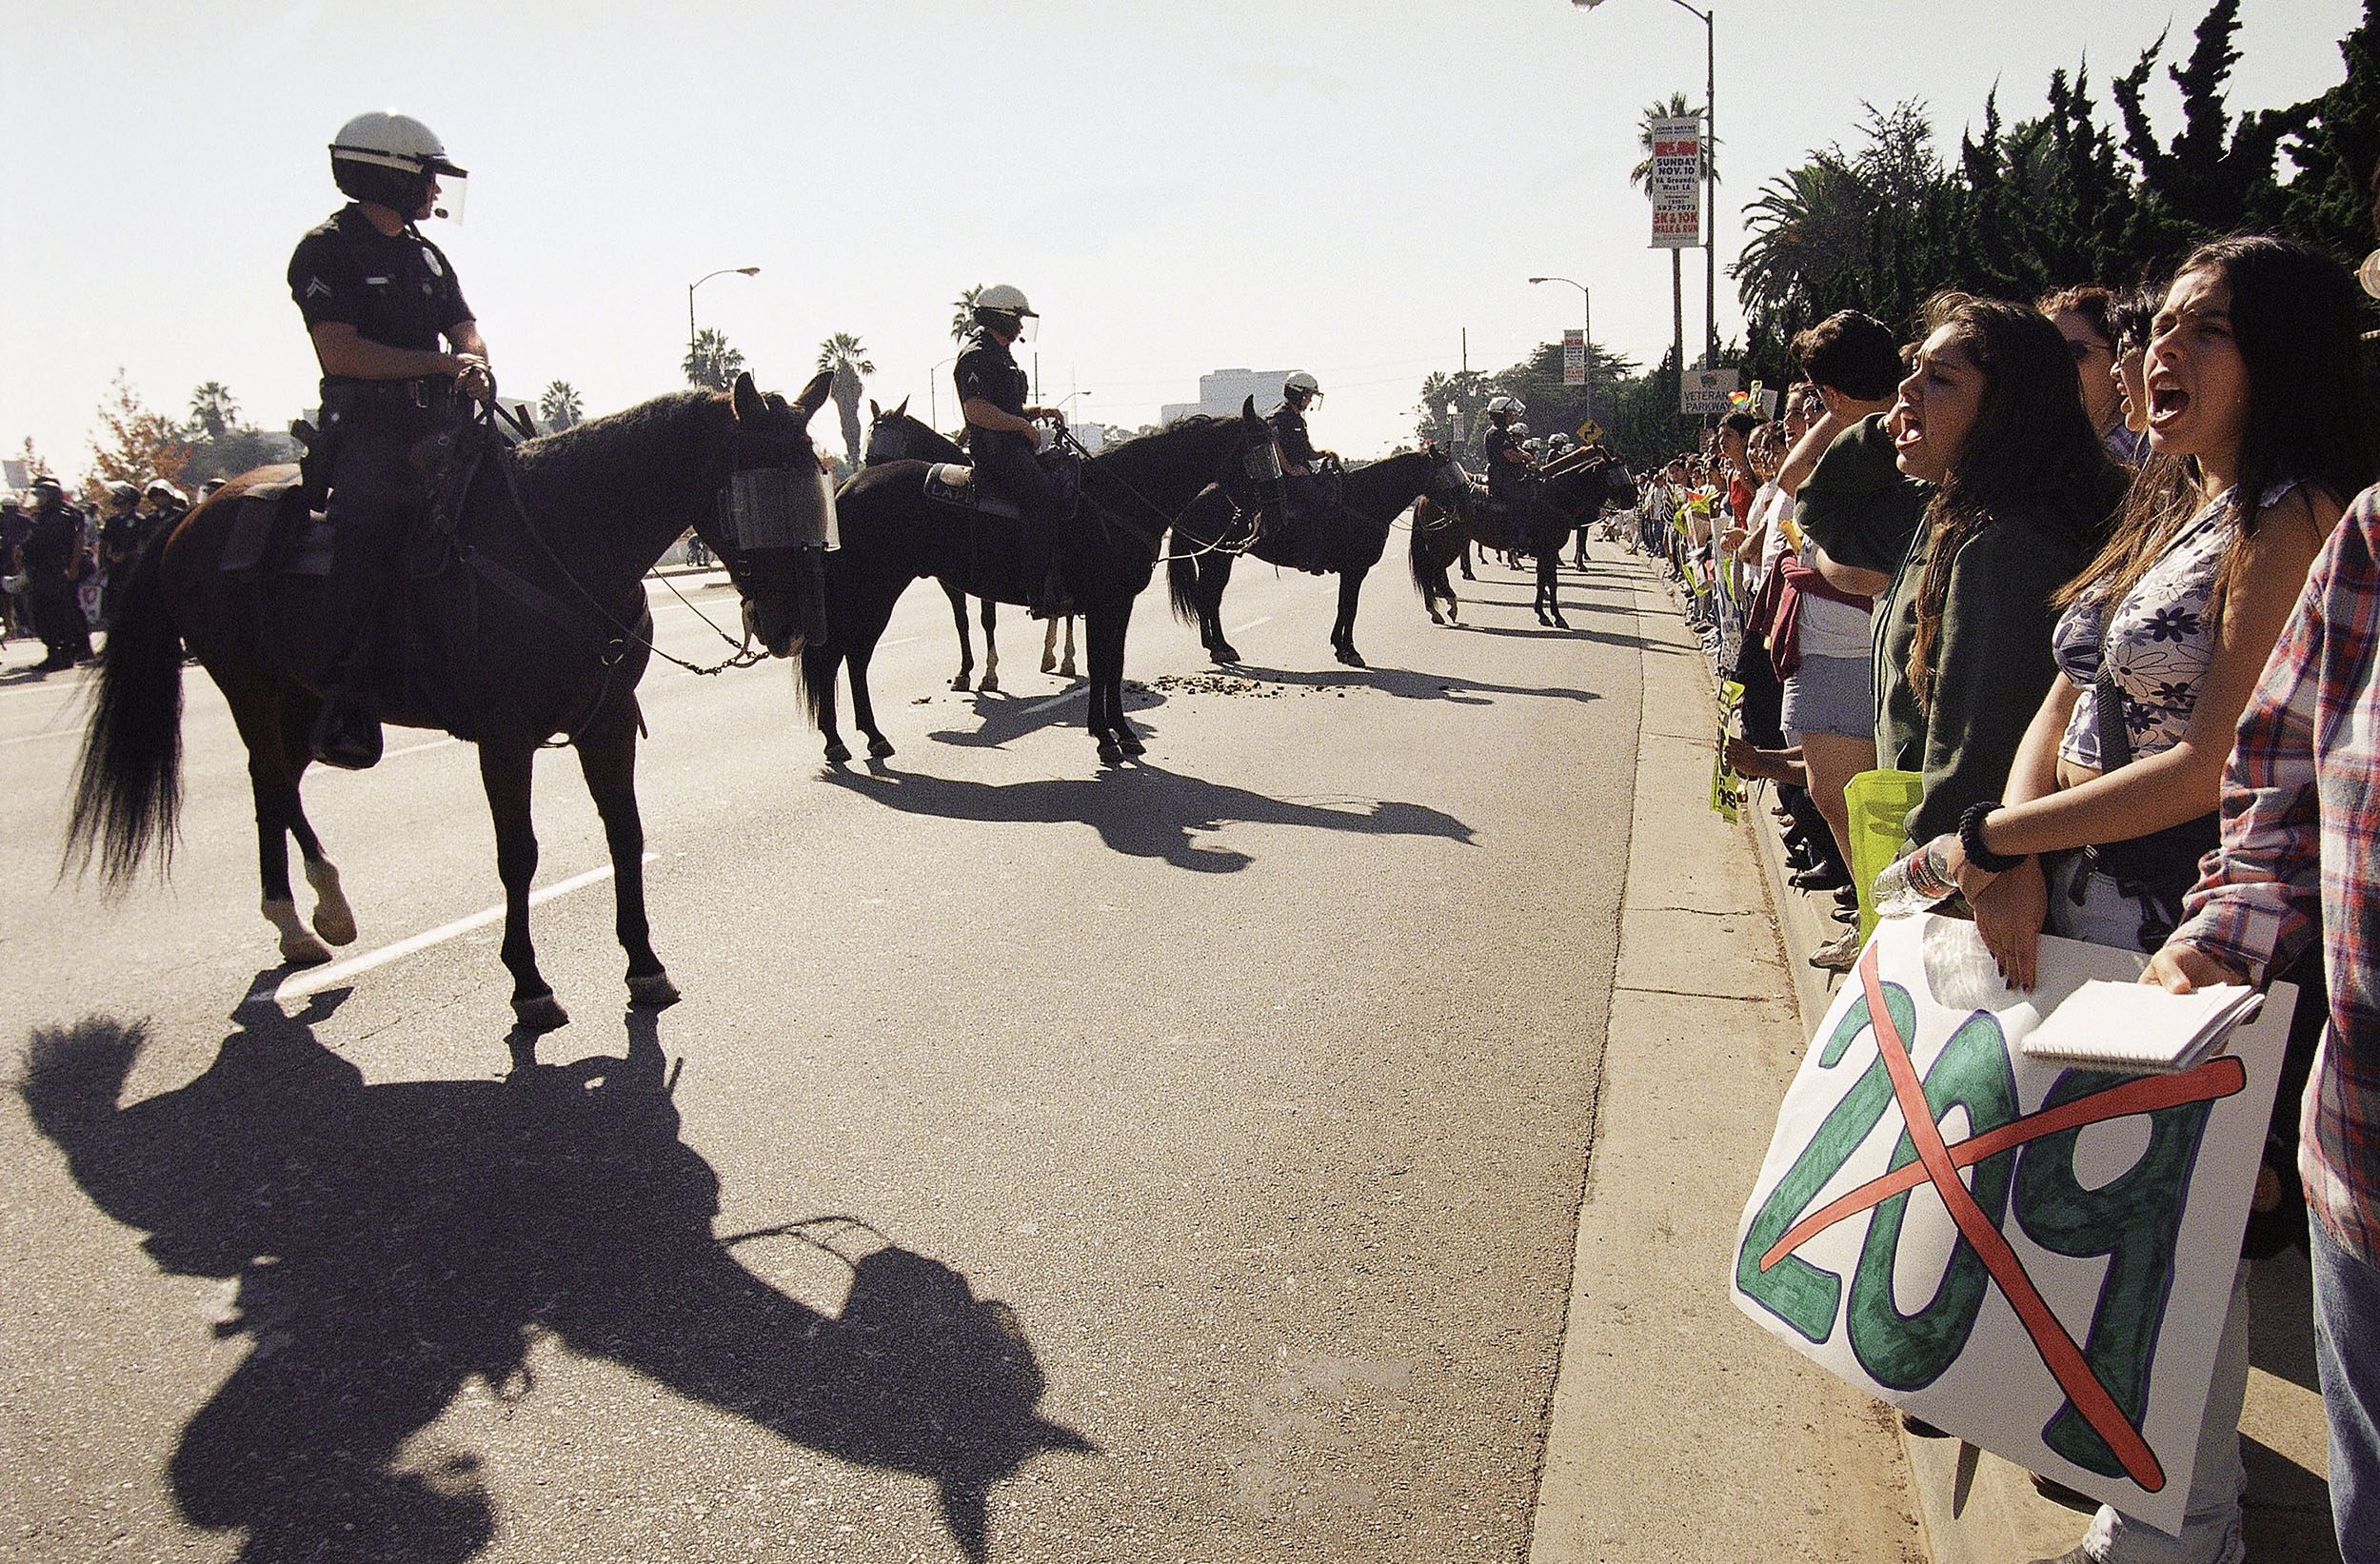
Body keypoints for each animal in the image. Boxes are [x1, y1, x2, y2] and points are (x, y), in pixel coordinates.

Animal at [65, 364, 838, 1023]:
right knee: (271, 780)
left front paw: (644, 965)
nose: (794, 626)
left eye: (818, 489)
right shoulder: (504, 736)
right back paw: (310, 908)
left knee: (273, 781)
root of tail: (189, 519)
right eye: (756, 495)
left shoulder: (609, 721)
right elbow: (518, 854)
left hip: (300, 697)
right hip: (249, 687)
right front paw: (529, 983)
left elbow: (626, 834)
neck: (562, 540)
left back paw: (305, 920)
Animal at [800, 400, 1285, 766]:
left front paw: (1122, 733)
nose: (1277, 516)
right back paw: (838, 740)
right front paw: (1104, 738)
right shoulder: (1101, 603)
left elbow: (1114, 664)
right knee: (839, 657)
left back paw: (868, 736)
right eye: (1259, 454)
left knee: (853, 658)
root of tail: (846, 489)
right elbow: (1099, 664)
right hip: (870, 593)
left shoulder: (1119, 603)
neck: (1118, 497)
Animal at [1166, 438, 1476, 666]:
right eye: (1448, 476)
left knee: (1209, 599)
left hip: (1217, 559)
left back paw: (1215, 644)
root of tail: (1193, 499)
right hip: (1216, 559)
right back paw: (1219, 647)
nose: (1469, 506)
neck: (1364, 498)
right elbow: (1349, 607)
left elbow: (1345, 606)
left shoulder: (1352, 571)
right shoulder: (1354, 570)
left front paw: (1340, 646)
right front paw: (1350, 650)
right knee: (1208, 598)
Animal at [1409, 445, 1637, 628]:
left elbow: (1542, 581)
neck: (1555, 497)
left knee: (1437, 571)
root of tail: (1424, 498)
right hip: (1445, 544)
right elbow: (1551, 582)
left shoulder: (1546, 552)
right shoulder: (1549, 550)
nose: (1633, 498)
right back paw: (1439, 606)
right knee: (1432, 570)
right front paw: (1556, 616)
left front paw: (1543, 613)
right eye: (1614, 473)